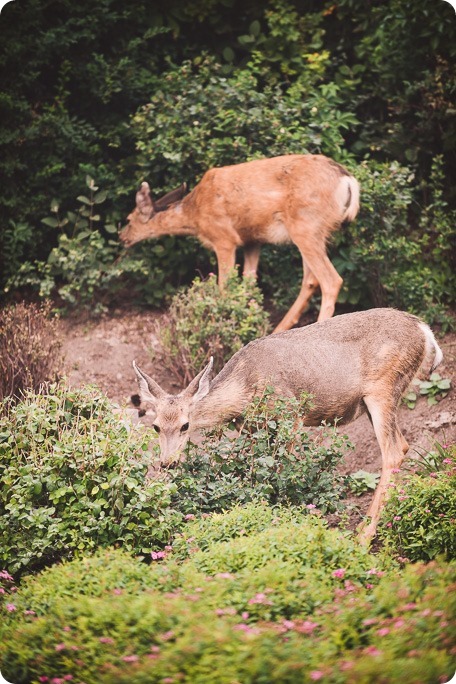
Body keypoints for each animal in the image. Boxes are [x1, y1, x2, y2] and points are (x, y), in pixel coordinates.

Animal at [120, 155, 360, 332]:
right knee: (311, 280)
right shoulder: (252, 241)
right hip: (312, 231)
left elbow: (224, 286)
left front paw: (219, 326)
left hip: (306, 225)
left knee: (331, 280)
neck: (194, 214)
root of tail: (348, 181)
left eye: (129, 219)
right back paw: (279, 329)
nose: (122, 237)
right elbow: (248, 283)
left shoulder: (224, 238)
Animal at [131, 308, 442, 544]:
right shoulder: (253, 428)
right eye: (155, 426)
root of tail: (424, 331)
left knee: (392, 451)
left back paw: (363, 536)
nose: (167, 462)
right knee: (404, 444)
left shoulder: (291, 414)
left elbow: (283, 469)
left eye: (185, 426)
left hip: (383, 388)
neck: (245, 389)